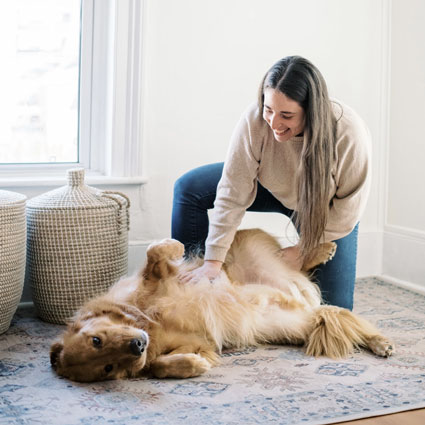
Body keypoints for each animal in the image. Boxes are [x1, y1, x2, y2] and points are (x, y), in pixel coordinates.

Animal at [51, 229, 392, 380]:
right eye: (107, 367)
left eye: (97, 339)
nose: (137, 346)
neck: (148, 321)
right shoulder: (198, 343)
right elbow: (160, 365)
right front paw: (191, 366)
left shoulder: (155, 280)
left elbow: (154, 254)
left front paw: (173, 245)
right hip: (299, 321)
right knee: (343, 320)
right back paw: (378, 343)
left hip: (252, 250)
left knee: (293, 256)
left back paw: (323, 249)